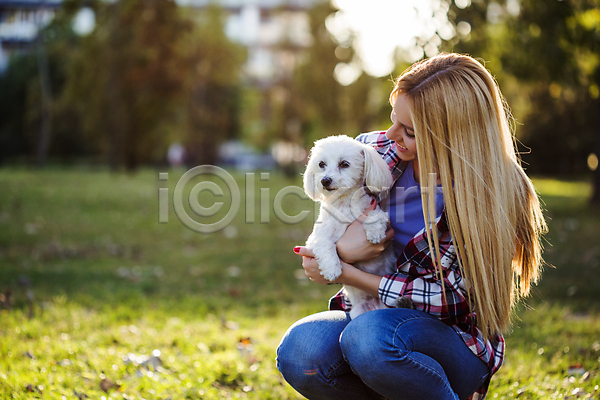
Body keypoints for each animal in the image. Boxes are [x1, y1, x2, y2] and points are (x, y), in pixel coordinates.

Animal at [304, 135, 398, 318]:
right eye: (321, 164)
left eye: (344, 164)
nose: (325, 180)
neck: (344, 202)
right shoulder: (315, 239)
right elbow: (326, 244)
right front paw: (332, 269)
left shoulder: (376, 210)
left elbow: (376, 216)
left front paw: (375, 233)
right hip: (358, 311)